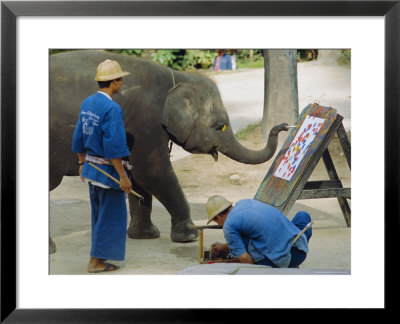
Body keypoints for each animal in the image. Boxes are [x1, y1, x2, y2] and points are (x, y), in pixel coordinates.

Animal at [49, 50, 288, 248]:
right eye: (220, 126)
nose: (283, 126)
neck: (179, 79)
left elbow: (136, 176)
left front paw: (145, 236)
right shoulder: (145, 122)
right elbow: (152, 172)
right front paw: (189, 236)